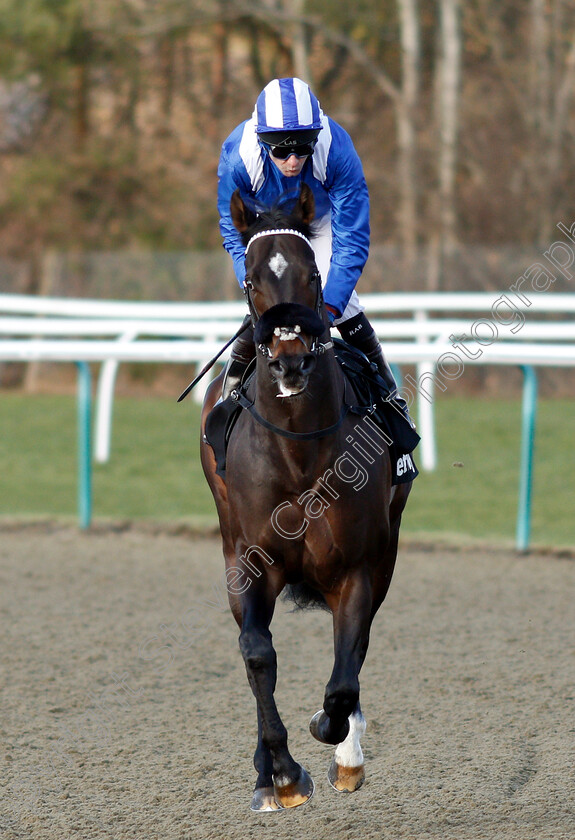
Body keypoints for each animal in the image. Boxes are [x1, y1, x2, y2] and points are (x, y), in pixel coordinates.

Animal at [201, 185, 414, 812]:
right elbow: (256, 654)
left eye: (312, 274)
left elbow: (343, 677)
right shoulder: (247, 562)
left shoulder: (358, 566)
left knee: (357, 650)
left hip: (389, 550)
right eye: (250, 279)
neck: (297, 447)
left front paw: (337, 742)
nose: (290, 359)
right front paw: (280, 773)